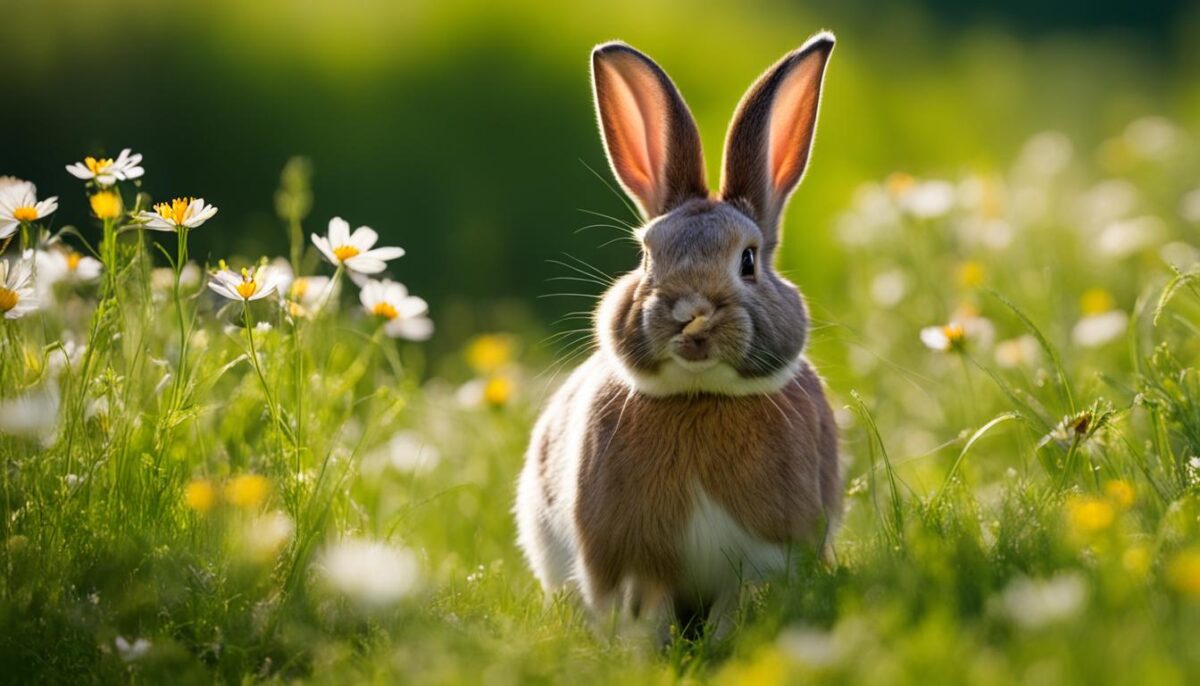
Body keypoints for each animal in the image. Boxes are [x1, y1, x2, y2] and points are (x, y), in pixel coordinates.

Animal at [516, 31, 841, 640]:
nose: (692, 313)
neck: (700, 396)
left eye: (748, 261)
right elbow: (648, 615)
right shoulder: (632, 565)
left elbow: (734, 609)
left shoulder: (763, 561)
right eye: (647, 257)